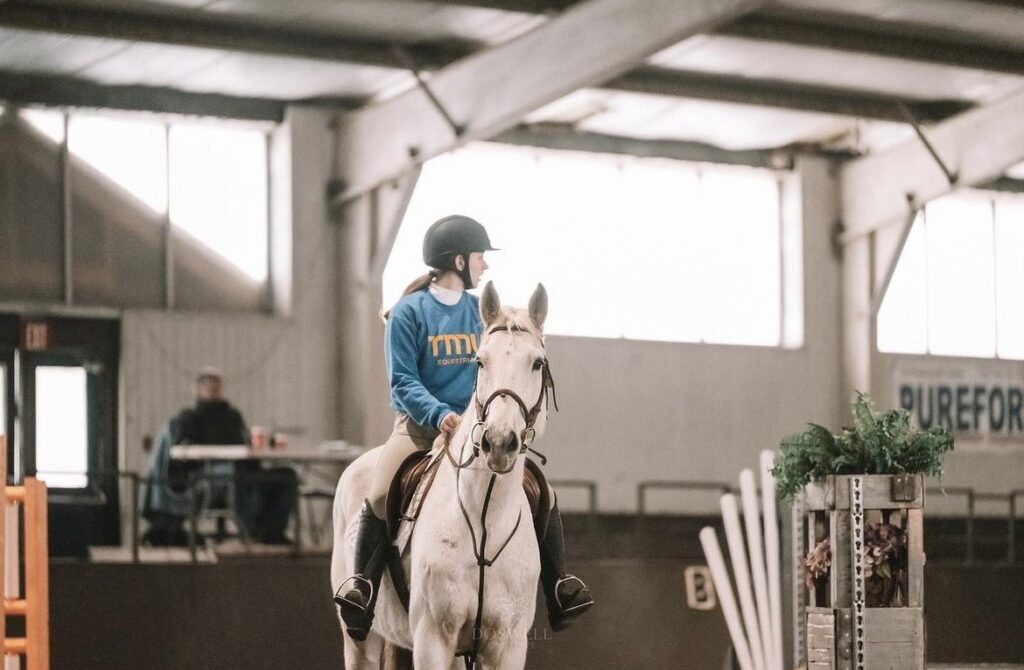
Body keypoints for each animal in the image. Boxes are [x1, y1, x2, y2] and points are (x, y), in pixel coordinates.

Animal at [331, 282, 552, 670]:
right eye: (480, 361)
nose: (498, 442)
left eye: (537, 363)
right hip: (359, 639)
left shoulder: (506, 644)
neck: (485, 520)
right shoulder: (433, 638)